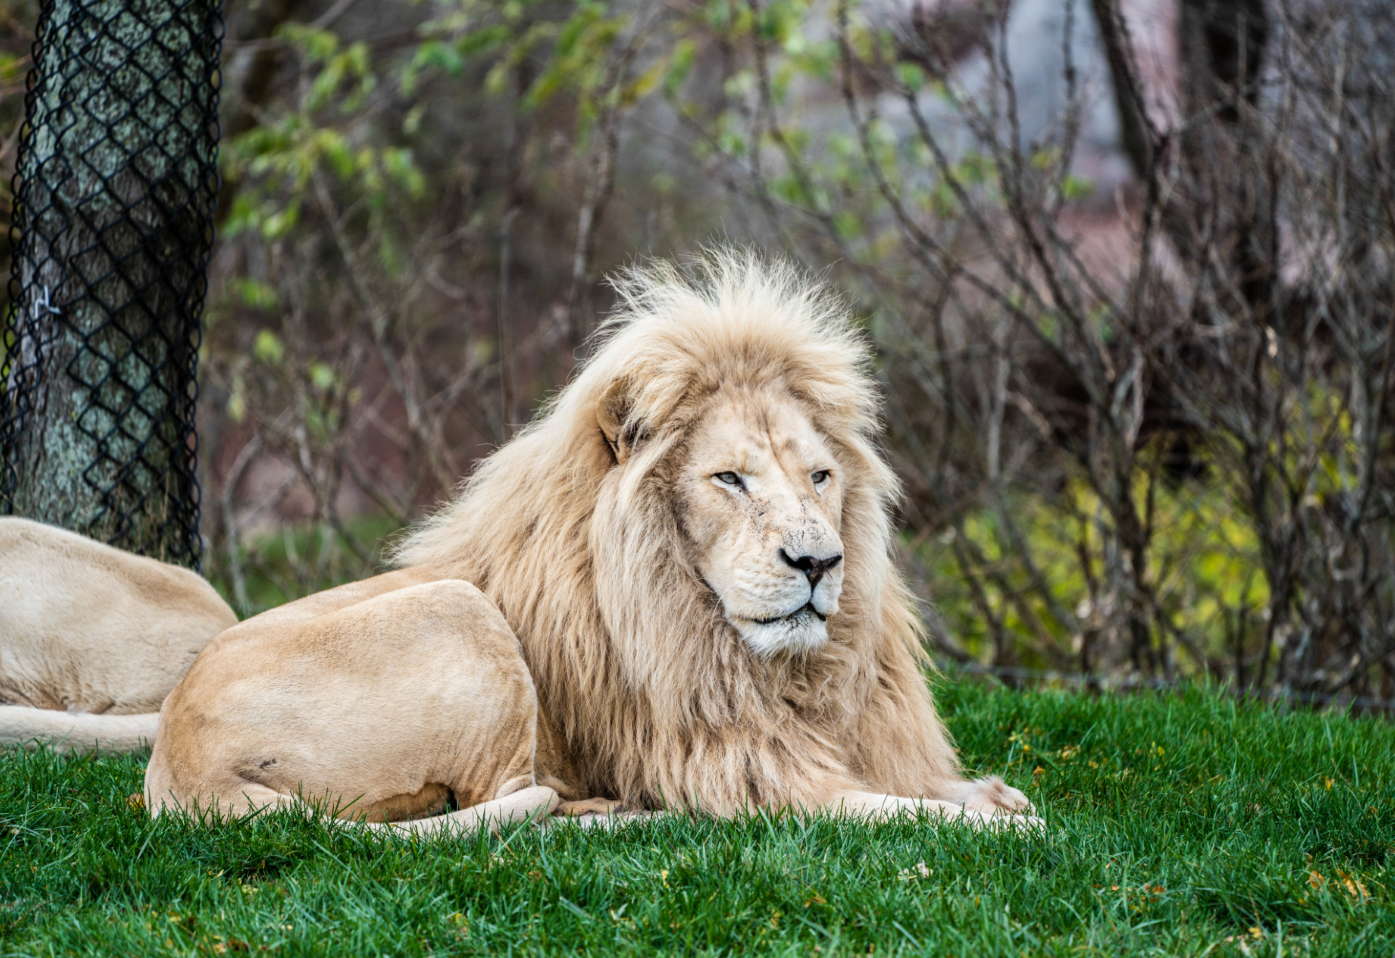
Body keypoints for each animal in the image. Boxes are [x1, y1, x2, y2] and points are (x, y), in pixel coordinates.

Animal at [145, 252, 1036, 833]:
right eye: (730, 480)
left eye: (819, 477)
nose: (818, 563)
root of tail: (176, 766)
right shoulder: (740, 767)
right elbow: (890, 810)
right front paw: (1000, 821)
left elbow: (923, 785)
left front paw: (992, 794)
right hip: (463, 614)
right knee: (502, 811)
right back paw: (630, 816)